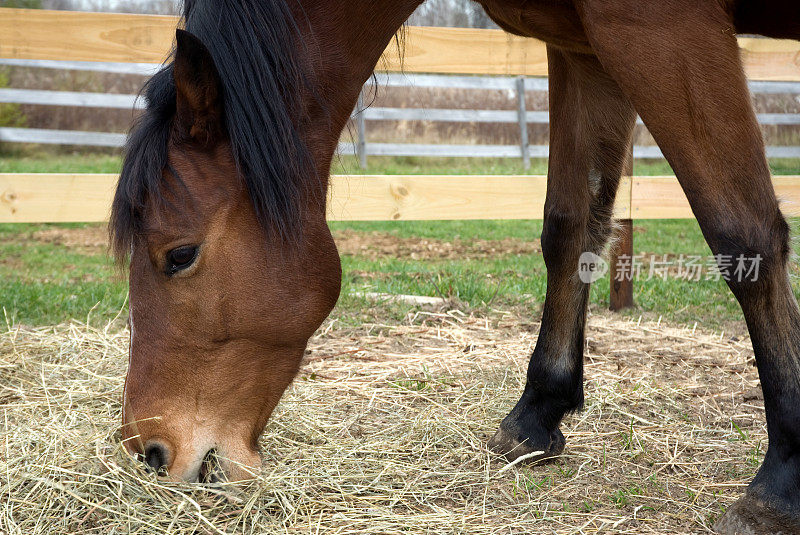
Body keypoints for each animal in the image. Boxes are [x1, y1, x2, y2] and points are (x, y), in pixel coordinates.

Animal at [112, 0, 800, 532]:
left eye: (179, 255)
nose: (150, 452)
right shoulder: (582, 44)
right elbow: (570, 226)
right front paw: (536, 416)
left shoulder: (661, 27)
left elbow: (745, 236)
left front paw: (782, 480)